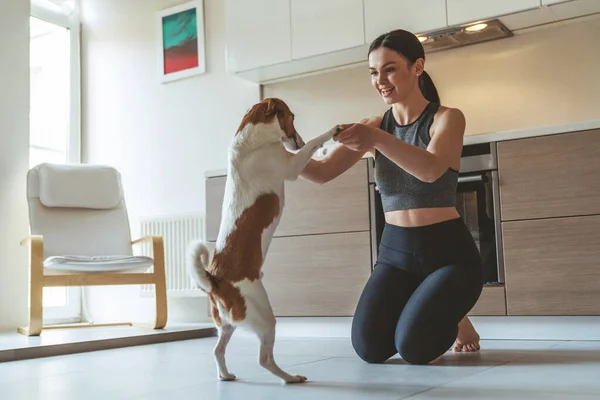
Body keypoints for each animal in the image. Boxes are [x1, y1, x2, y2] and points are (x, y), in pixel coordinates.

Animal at [186, 97, 338, 384]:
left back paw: (225, 375)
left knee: (217, 350)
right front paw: (330, 132)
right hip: (265, 317)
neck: (252, 139)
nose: (298, 141)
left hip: (228, 324)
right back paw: (289, 378)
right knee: (264, 359)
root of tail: (214, 280)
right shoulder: (291, 166)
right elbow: (314, 143)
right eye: (292, 117)